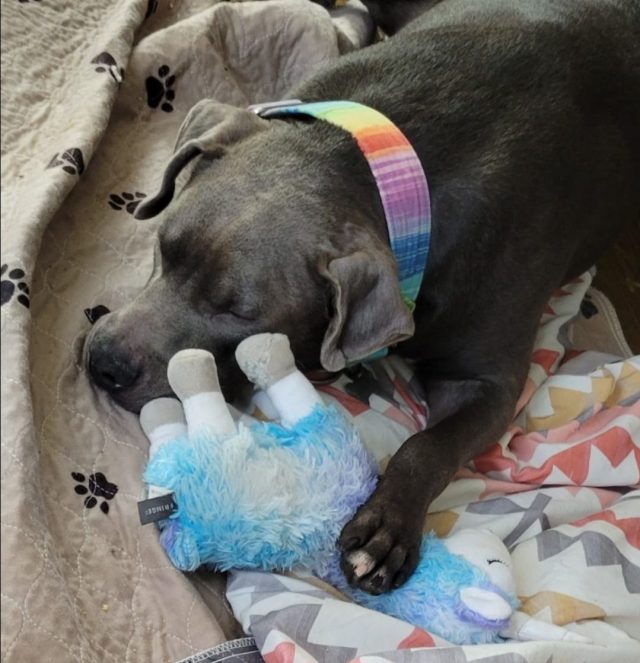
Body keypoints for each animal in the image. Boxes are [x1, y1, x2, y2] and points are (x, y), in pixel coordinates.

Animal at [86, 0, 640, 596]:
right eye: (163, 246)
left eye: (235, 313)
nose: (103, 362)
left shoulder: (488, 384)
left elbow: (429, 445)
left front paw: (387, 527)